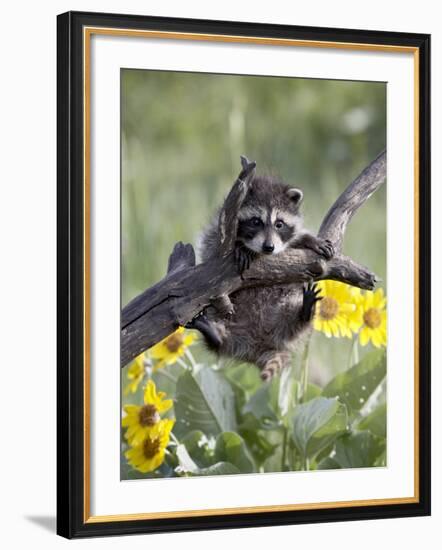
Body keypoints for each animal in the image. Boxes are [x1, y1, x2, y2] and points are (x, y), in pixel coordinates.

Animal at [192, 168, 334, 384]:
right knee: (217, 329)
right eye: (255, 221)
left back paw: (305, 311)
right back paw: (214, 335)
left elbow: (298, 239)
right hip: (224, 316)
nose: (269, 247)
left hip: (284, 313)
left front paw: (310, 239)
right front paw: (241, 247)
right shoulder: (217, 232)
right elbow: (212, 246)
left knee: (296, 321)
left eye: (279, 224)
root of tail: (259, 345)